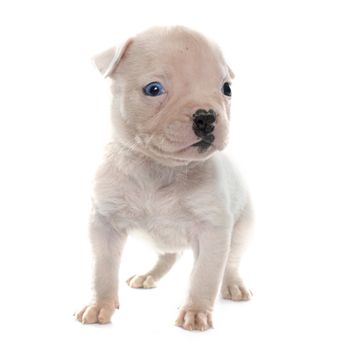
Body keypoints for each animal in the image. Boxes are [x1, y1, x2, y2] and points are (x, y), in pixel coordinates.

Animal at [75, 25, 253, 330]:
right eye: (153, 89)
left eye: (226, 88)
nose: (206, 117)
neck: (160, 167)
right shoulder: (104, 224)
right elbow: (102, 270)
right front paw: (100, 305)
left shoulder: (213, 230)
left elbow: (204, 275)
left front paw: (195, 311)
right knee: (168, 254)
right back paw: (149, 274)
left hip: (241, 228)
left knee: (230, 261)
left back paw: (232, 285)